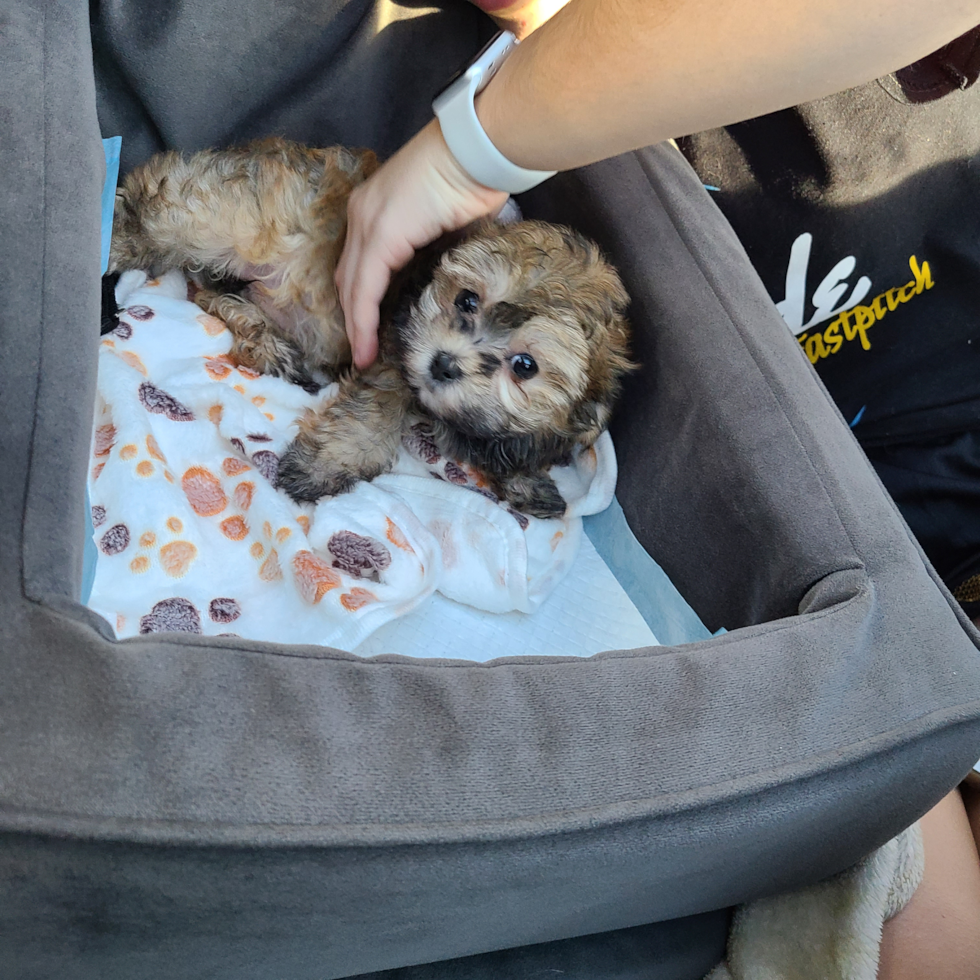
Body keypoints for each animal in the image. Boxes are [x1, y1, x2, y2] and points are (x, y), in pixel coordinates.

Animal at [109, 140, 636, 520]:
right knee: (165, 216)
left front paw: (530, 482)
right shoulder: (391, 349)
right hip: (222, 216)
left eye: (525, 365)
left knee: (208, 291)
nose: (443, 363)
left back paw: (265, 341)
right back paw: (118, 237)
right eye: (467, 299)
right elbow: (373, 414)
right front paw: (325, 466)